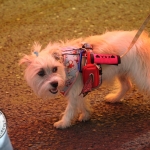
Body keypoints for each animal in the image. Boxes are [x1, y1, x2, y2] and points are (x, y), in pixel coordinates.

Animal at [19, 29, 150, 128]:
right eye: (41, 73)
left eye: (55, 69)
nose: (55, 83)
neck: (67, 63)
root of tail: (143, 39)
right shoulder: (79, 88)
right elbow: (81, 102)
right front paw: (86, 114)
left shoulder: (74, 89)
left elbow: (70, 108)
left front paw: (64, 123)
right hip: (122, 71)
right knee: (126, 86)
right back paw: (115, 98)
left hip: (142, 75)